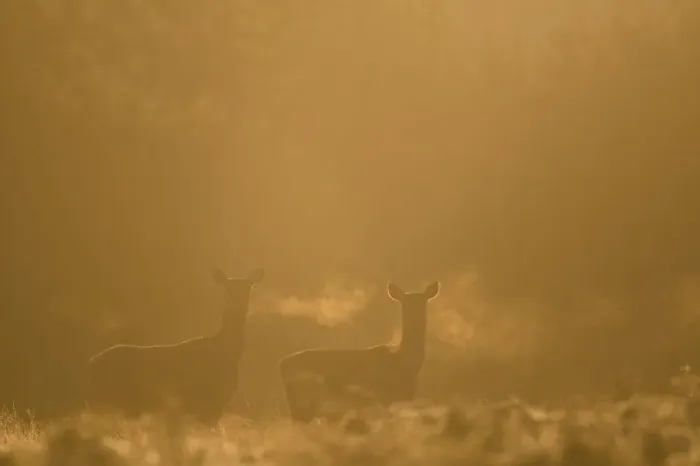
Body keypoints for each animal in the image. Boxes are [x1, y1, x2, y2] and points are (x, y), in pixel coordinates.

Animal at [87, 267, 263, 425]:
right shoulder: (208, 405)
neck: (227, 353)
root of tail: (91, 363)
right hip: (110, 401)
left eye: (248, 288)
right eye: (226, 289)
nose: (237, 303)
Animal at [279, 279, 440, 422]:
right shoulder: (383, 396)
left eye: (423, 301)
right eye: (405, 303)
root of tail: (282, 364)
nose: (415, 318)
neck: (402, 364)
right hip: (302, 402)